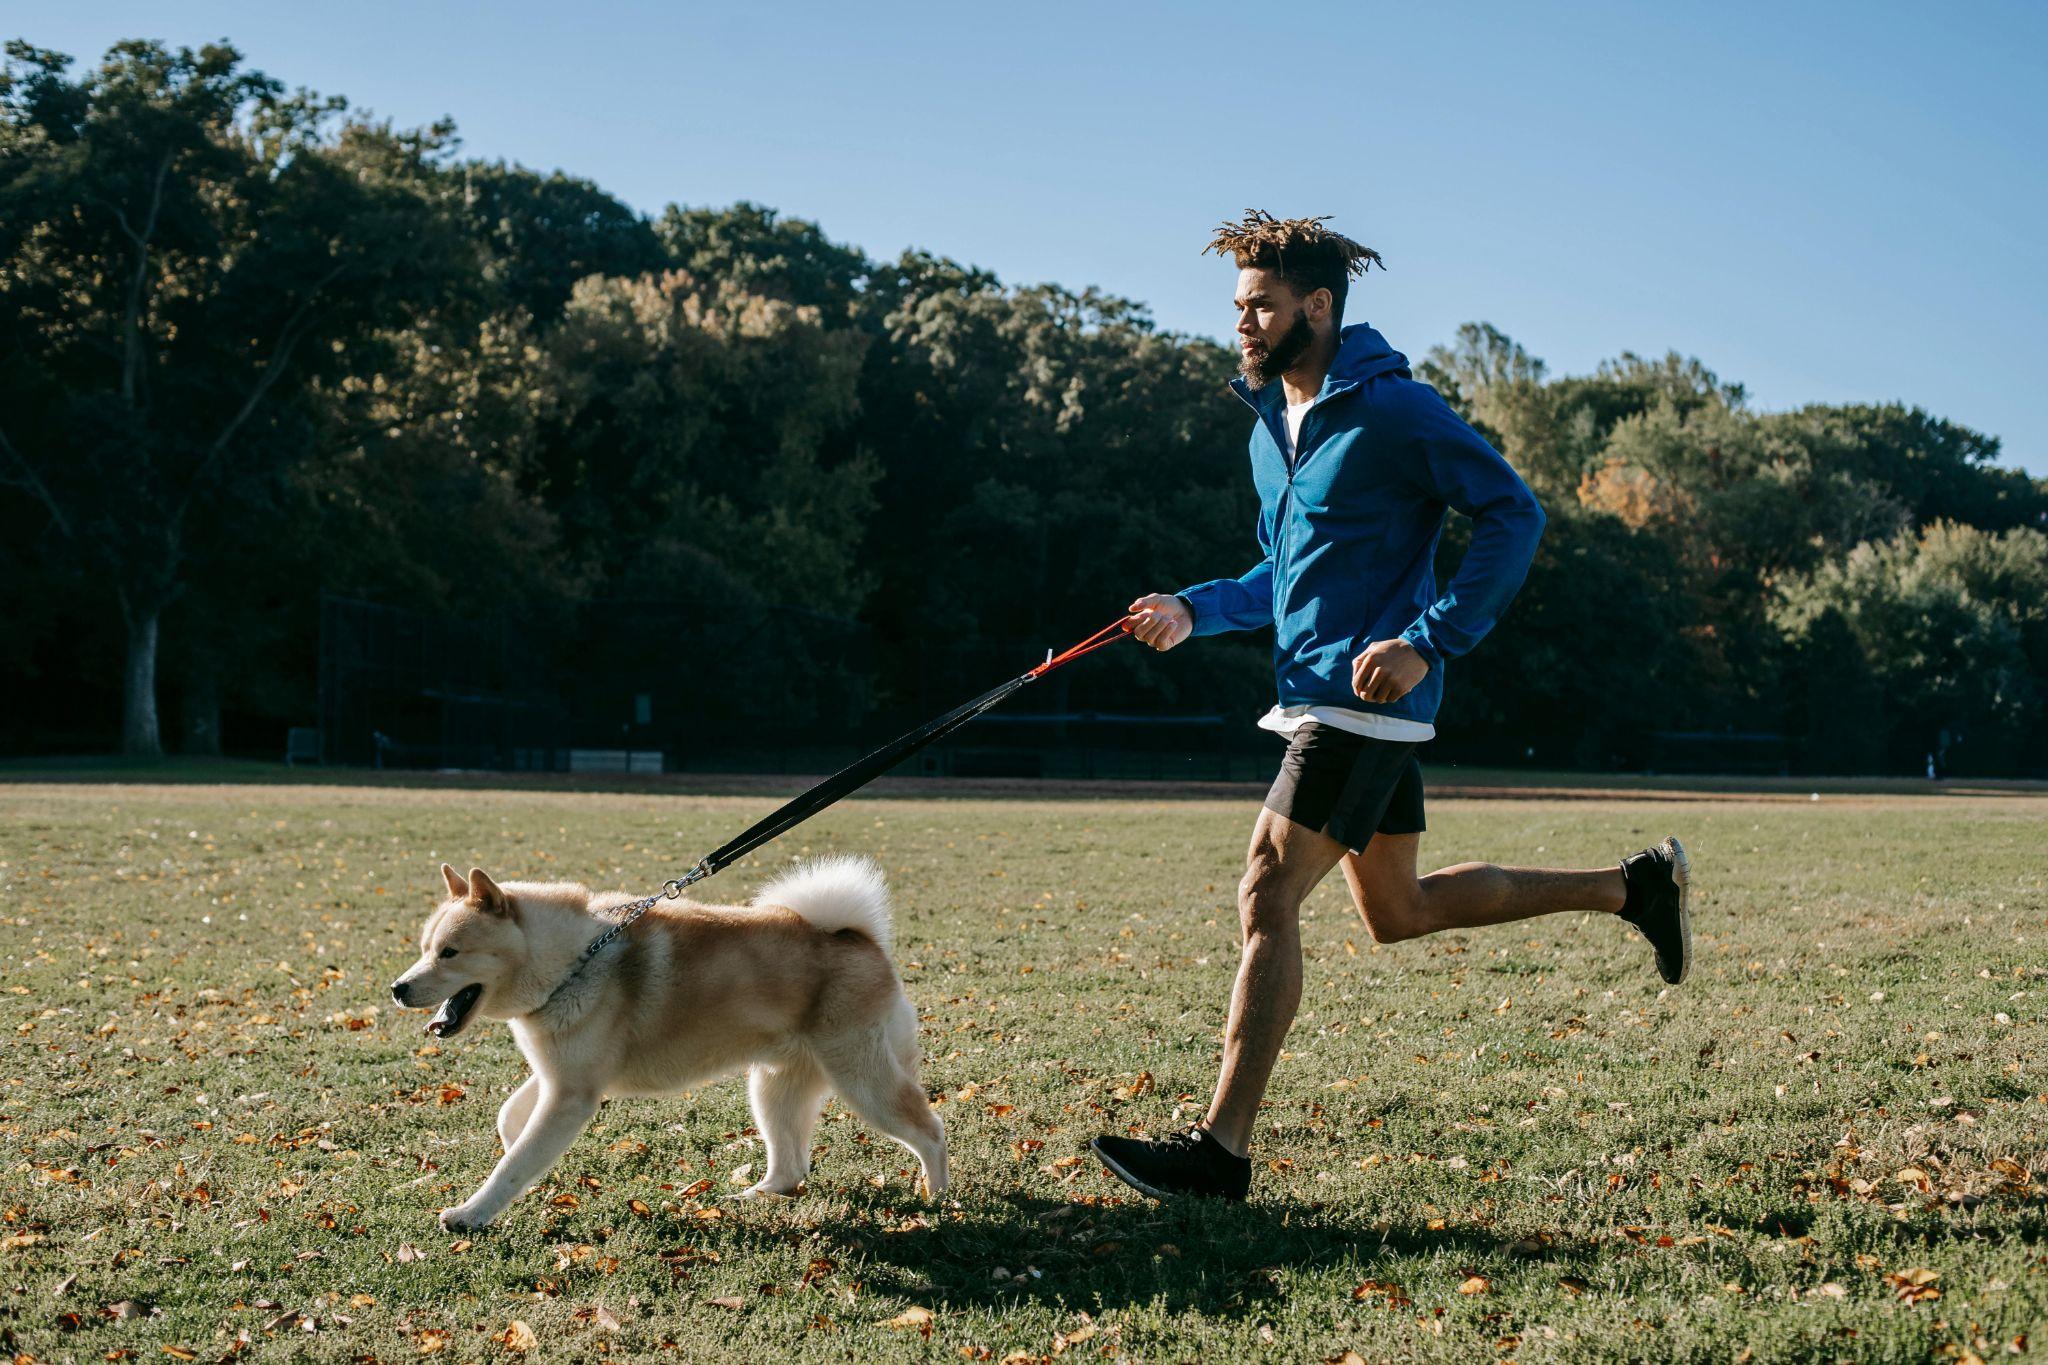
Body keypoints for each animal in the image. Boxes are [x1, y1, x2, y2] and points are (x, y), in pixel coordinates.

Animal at [387, 859, 946, 1236]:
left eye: (450, 953)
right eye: (424, 949)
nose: (397, 988)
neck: (574, 961)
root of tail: (861, 939)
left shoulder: (572, 1096)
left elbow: (513, 1166)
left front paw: (471, 1214)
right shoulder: (558, 1079)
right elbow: (511, 1123)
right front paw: (518, 1163)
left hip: (861, 1081)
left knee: (930, 1129)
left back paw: (939, 1200)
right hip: (773, 1088)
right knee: (791, 1171)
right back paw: (750, 1198)